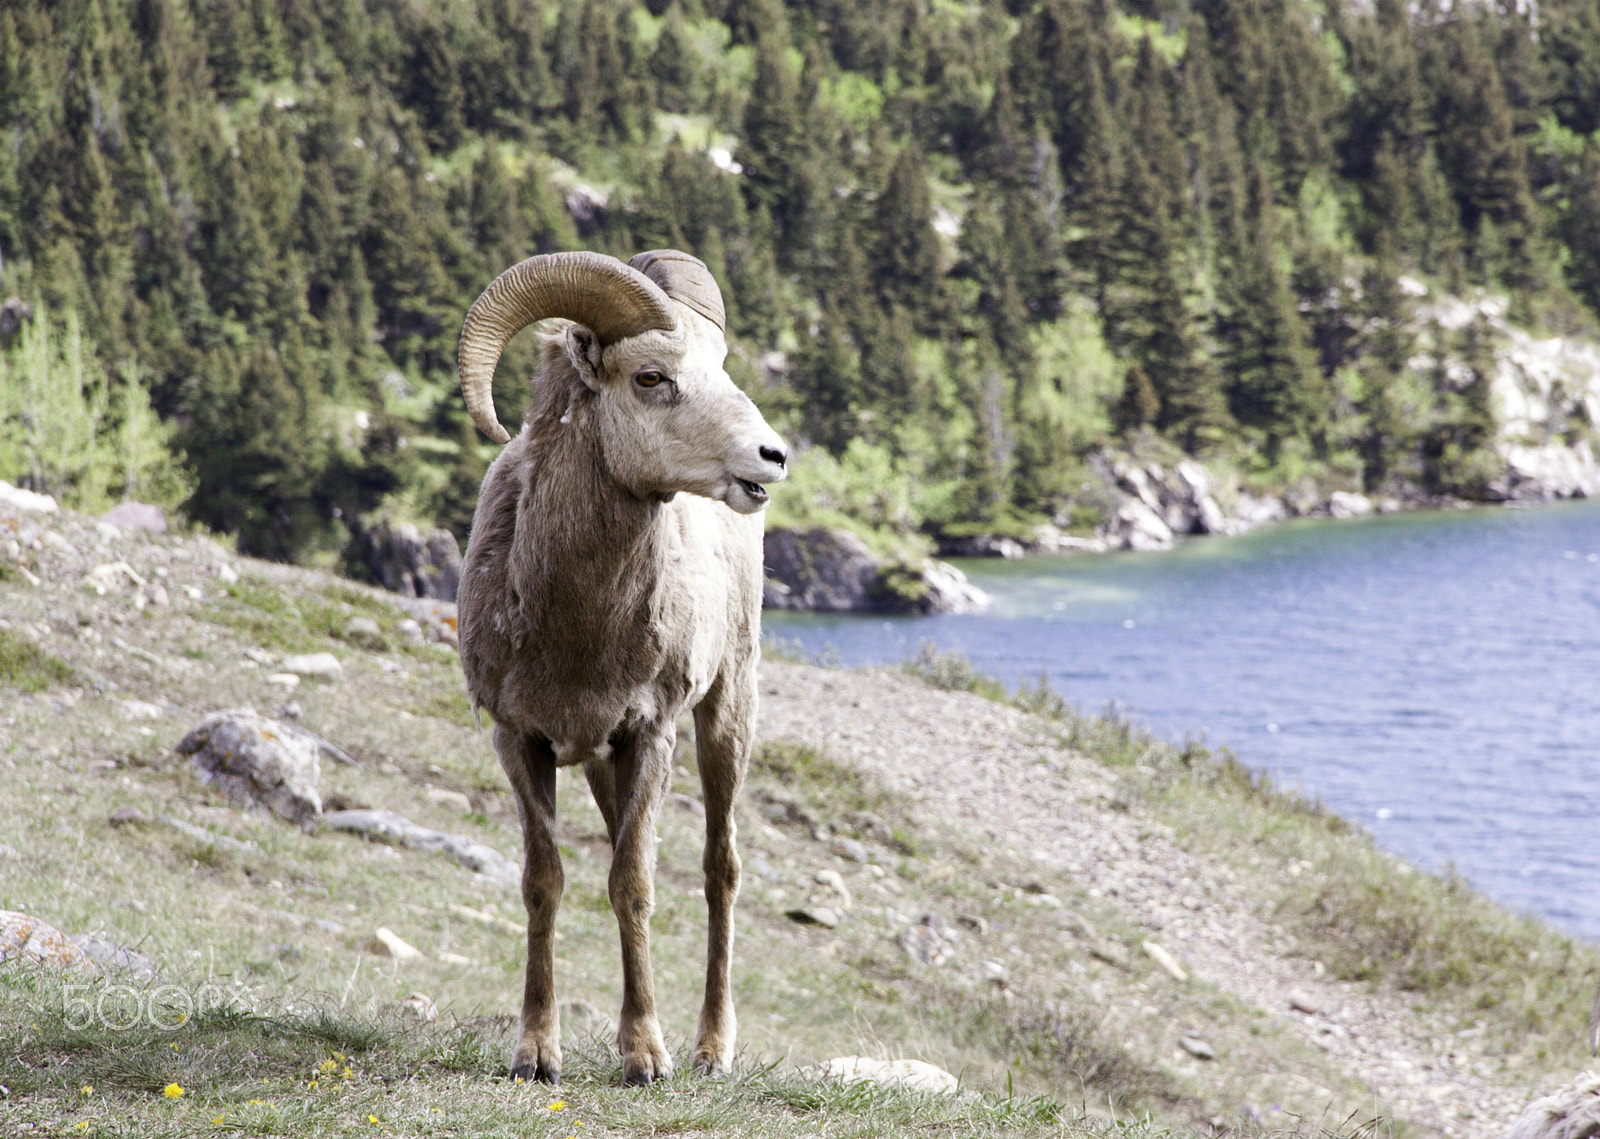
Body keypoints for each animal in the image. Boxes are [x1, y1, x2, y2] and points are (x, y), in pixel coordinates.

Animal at [453, 249, 788, 1087]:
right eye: (651, 377)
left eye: (720, 365)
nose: (772, 456)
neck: (575, 630)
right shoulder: (521, 740)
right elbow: (546, 883)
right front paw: (537, 1054)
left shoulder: (652, 732)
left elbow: (632, 885)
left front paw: (644, 1057)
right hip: (606, 763)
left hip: (727, 713)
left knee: (719, 868)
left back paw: (710, 1049)